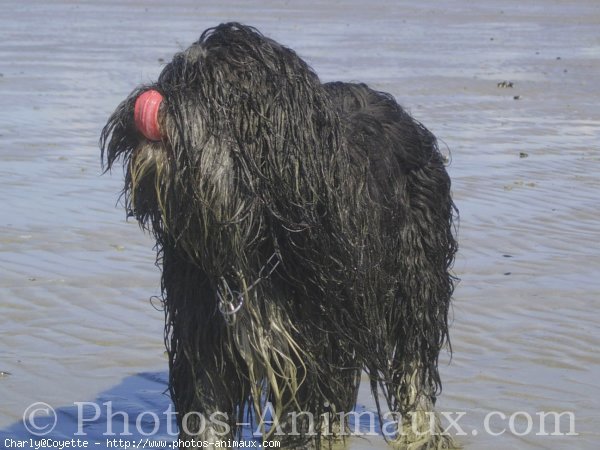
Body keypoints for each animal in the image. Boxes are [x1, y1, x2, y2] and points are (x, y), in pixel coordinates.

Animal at [102, 22, 460, 448]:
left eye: (211, 86)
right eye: (171, 76)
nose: (151, 102)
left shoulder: (319, 344)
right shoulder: (204, 331)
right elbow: (206, 414)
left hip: (416, 278)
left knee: (414, 364)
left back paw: (420, 434)